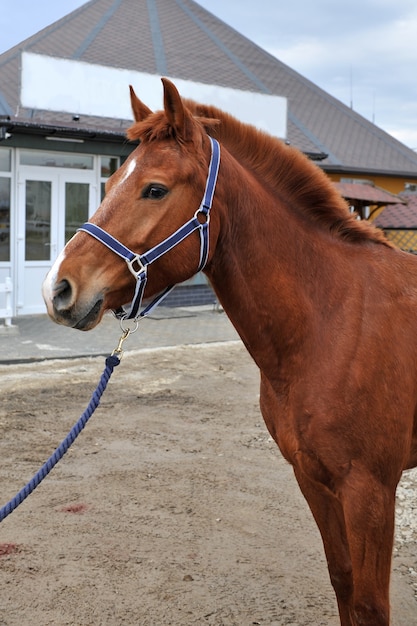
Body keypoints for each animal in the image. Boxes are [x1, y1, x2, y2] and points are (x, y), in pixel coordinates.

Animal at [41, 78, 416, 624]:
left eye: (155, 189)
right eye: (108, 187)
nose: (57, 290)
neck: (334, 320)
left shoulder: (371, 490)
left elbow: (370, 605)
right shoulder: (314, 480)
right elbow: (343, 582)